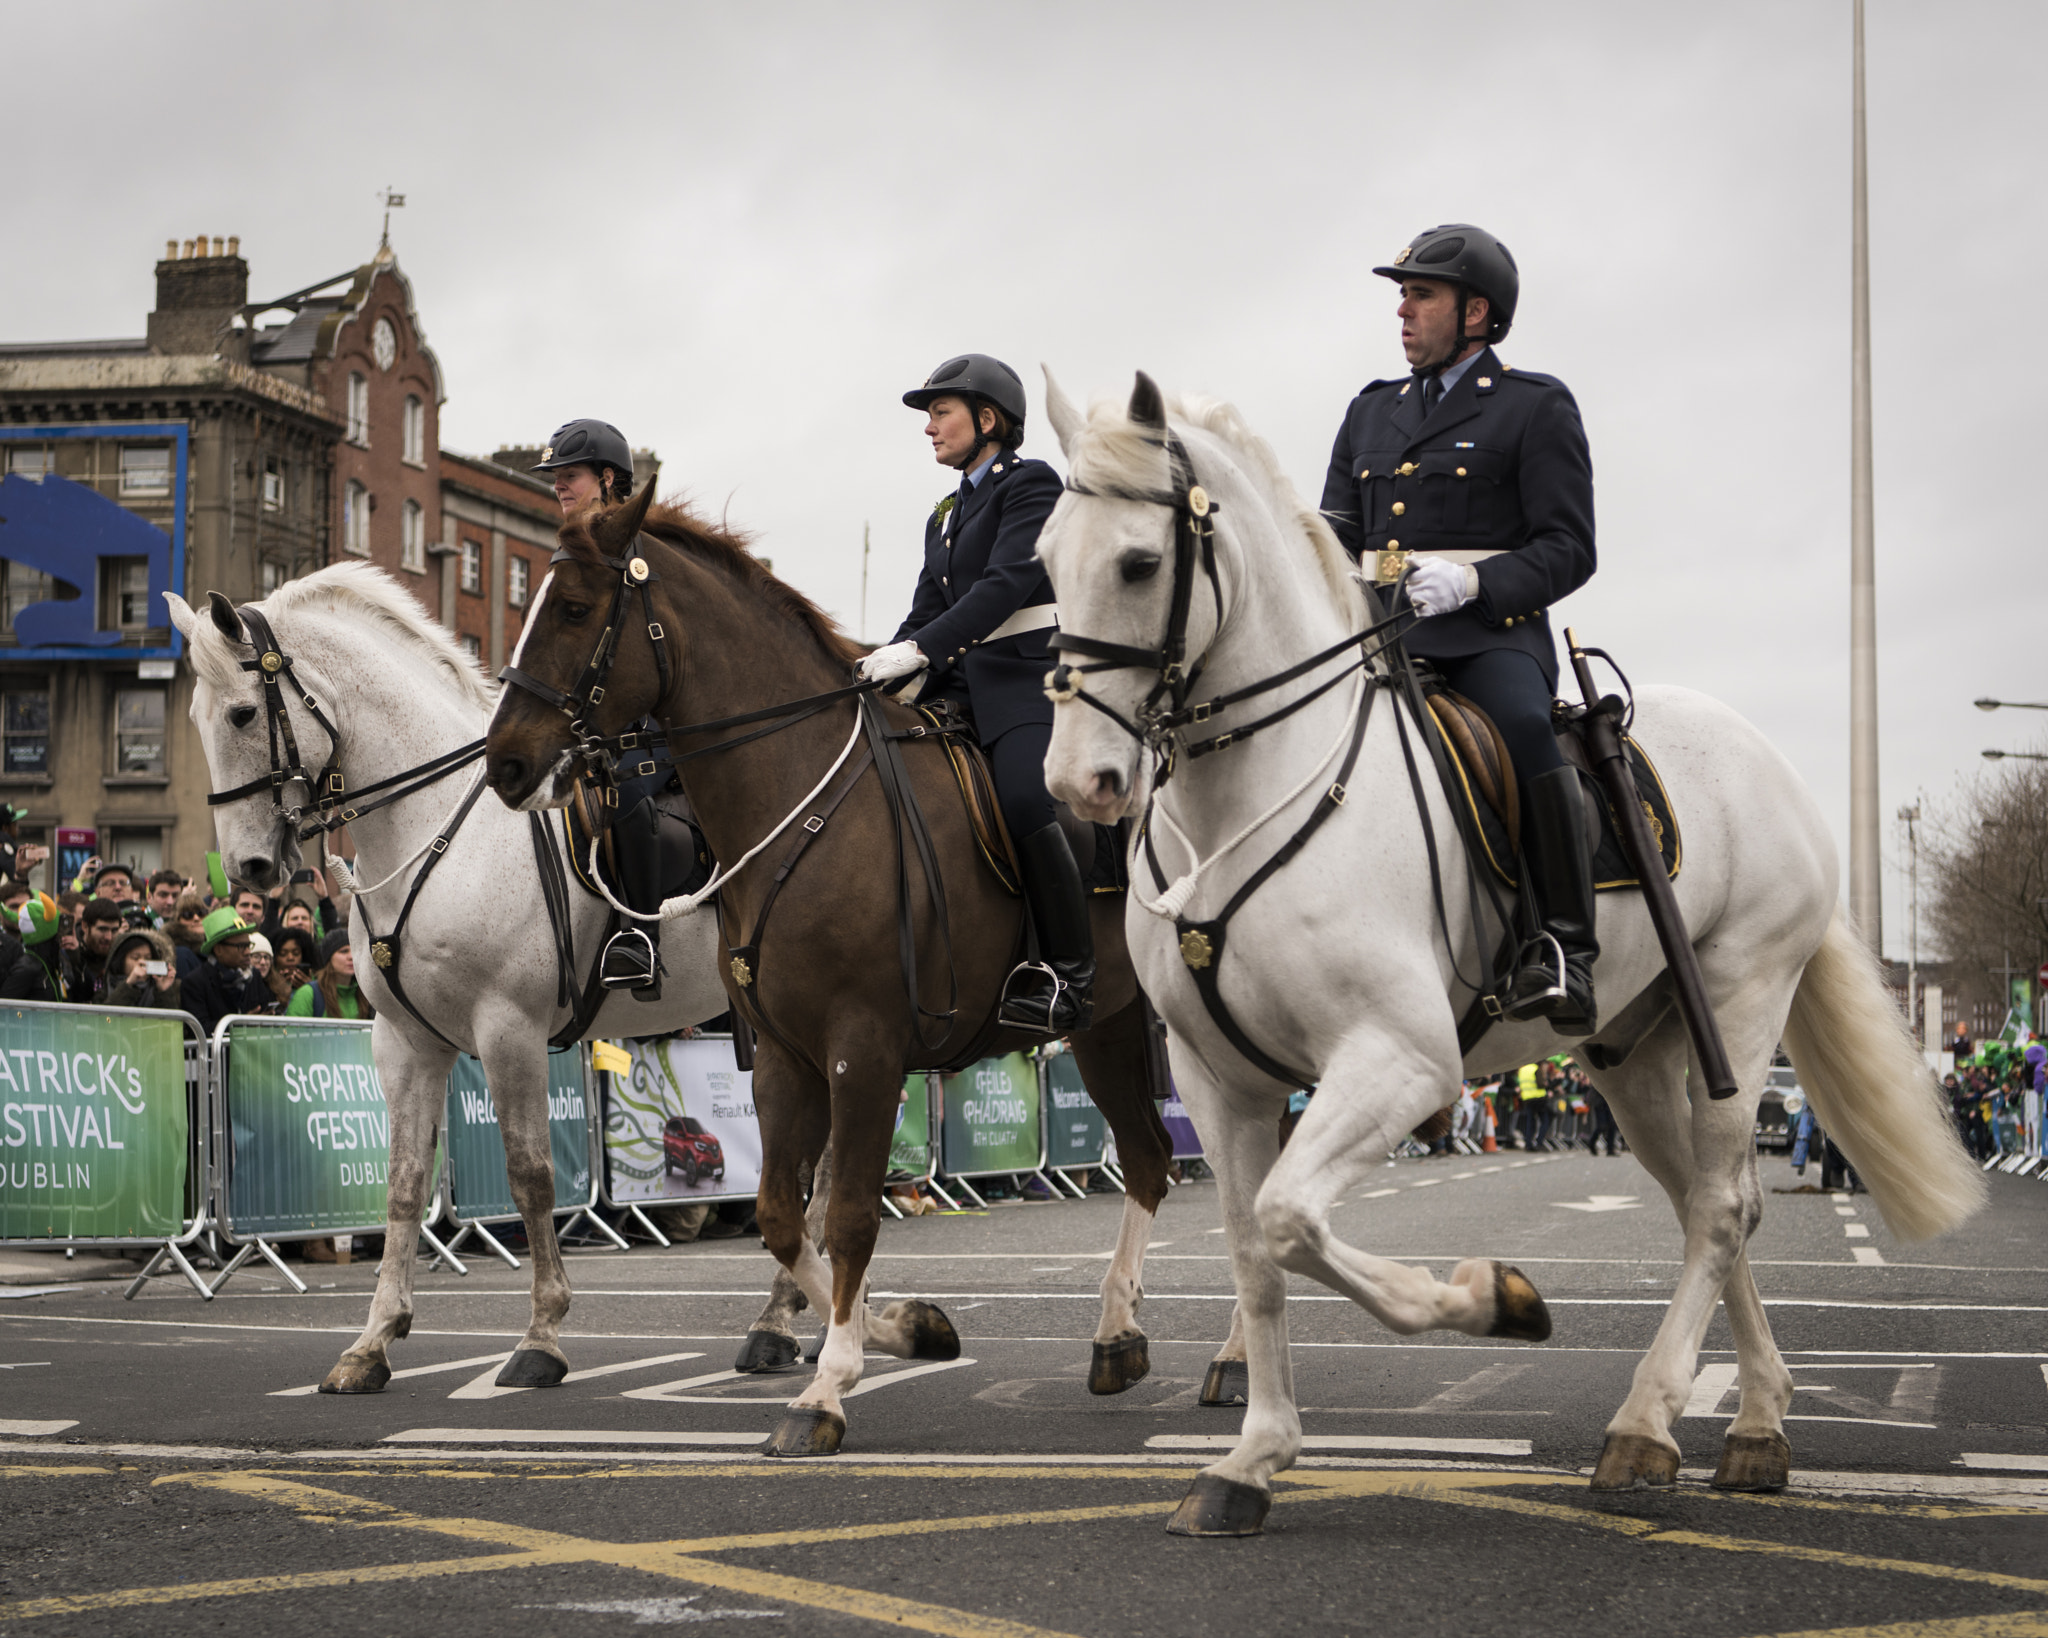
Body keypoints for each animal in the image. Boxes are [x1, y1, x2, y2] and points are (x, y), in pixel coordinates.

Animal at [169, 573, 737, 1392]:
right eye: (194, 718)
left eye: (243, 713)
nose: (247, 868)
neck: (435, 822)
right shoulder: (407, 1042)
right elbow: (405, 1181)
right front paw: (372, 1342)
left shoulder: (510, 1031)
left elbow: (531, 1175)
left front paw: (541, 1336)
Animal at [485, 479, 1179, 1449]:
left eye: (577, 608)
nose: (505, 763)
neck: (803, 796)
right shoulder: (785, 1054)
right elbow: (783, 1216)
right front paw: (902, 1330)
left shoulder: (866, 1048)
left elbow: (847, 1214)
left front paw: (828, 1387)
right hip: (1109, 1023)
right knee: (1151, 1159)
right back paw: (1118, 1337)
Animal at [1040, 370, 1982, 1539]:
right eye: (1044, 560)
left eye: (1137, 562)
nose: (1080, 783)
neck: (1251, 798)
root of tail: (1771, 761)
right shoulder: (1221, 1086)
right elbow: (1257, 1252)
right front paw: (1251, 1459)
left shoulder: (1402, 1061)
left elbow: (1291, 1219)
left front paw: (1498, 1299)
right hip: (1631, 1054)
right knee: (1708, 1208)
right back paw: (1754, 1421)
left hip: (1739, 997)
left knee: (1722, 1205)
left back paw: (1646, 1424)